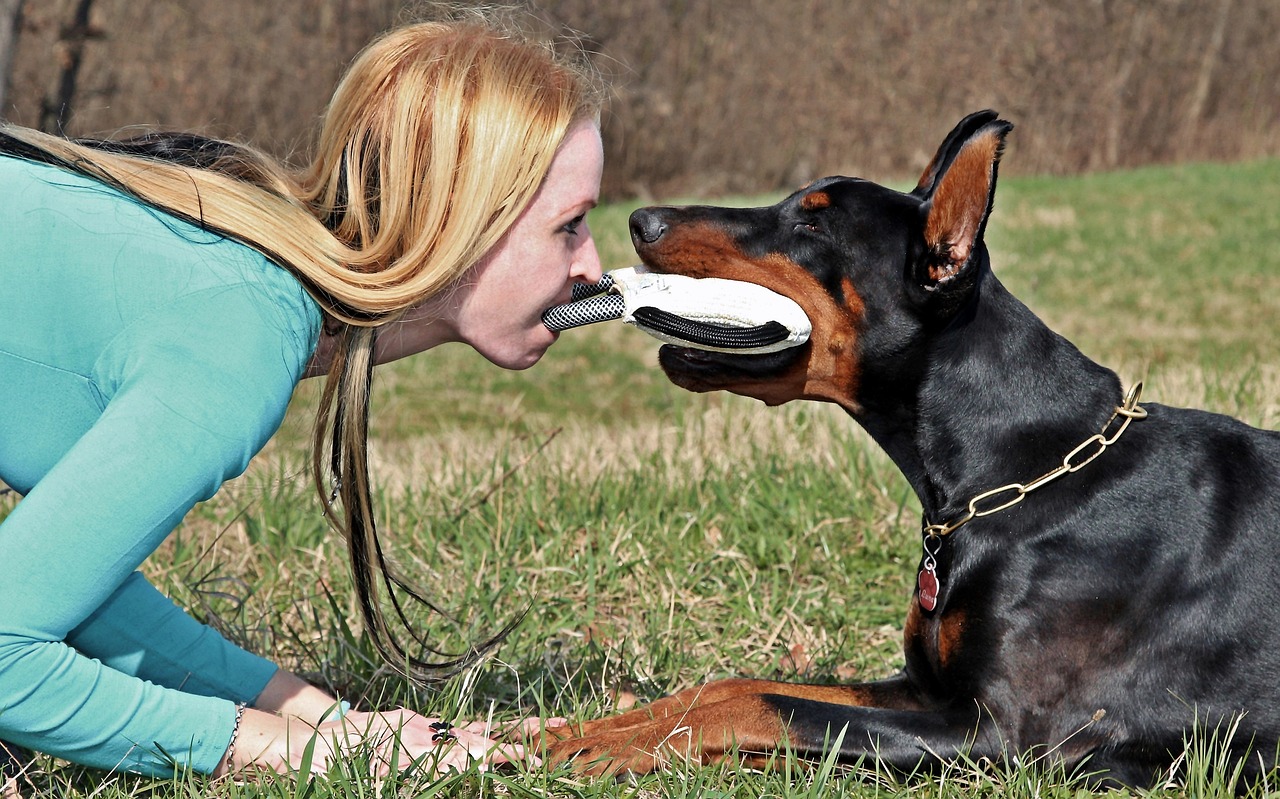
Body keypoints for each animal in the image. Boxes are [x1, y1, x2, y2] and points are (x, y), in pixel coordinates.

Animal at [540, 110, 1280, 788]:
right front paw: (593, 730)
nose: (640, 220)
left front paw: (611, 746)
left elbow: (764, 704)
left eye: (813, 226)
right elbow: (734, 686)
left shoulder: (1003, 733)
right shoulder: (923, 688)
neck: (1020, 470)